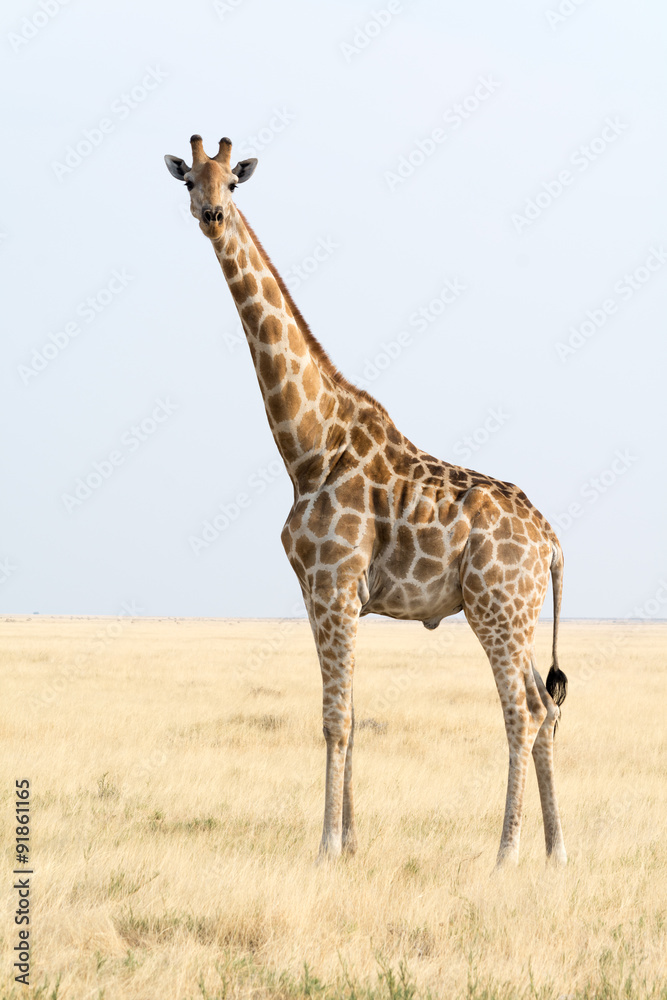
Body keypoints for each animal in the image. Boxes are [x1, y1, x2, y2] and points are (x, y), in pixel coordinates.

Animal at [165, 135, 569, 866]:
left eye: (232, 182)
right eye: (190, 181)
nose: (210, 214)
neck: (307, 447)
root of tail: (552, 543)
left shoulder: (332, 582)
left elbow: (335, 717)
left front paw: (326, 846)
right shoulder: (325, 592)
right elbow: (348, 710)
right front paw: (350, 843)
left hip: (495, 608)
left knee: (520, 710)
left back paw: (506, 853)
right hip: (519, 613)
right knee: (545, 706)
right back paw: (555, 853)